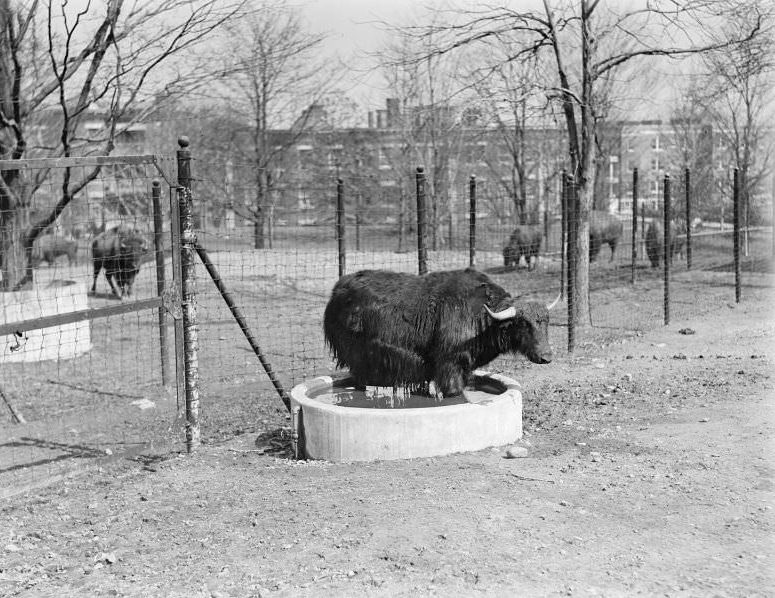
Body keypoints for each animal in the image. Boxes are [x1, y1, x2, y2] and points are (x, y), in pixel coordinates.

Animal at [322, 268, 556, 398]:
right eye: (524, 323)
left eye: (546, 322)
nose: (546, 357)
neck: (483, 318)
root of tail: (337, 290)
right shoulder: (449, 362)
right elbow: (454, 391)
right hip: (356, 353)